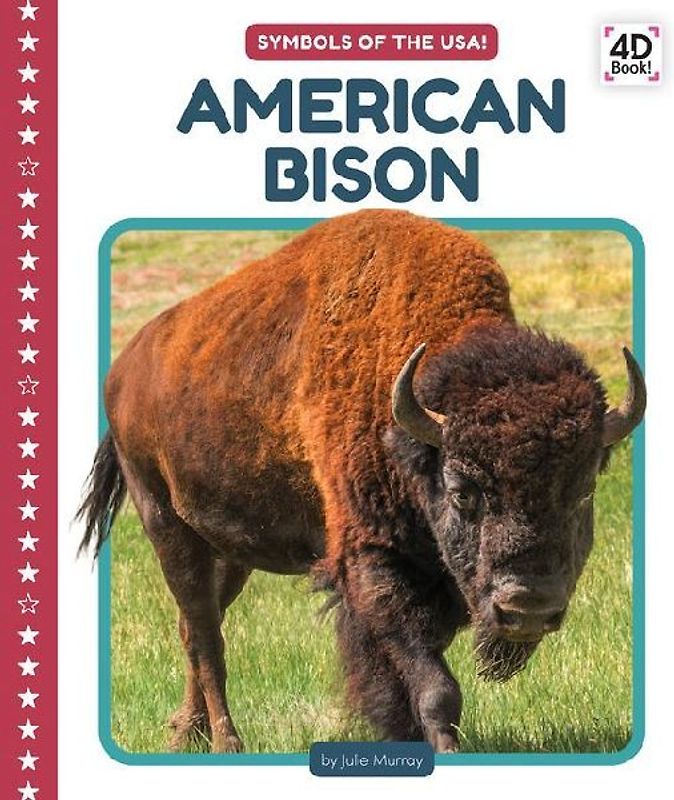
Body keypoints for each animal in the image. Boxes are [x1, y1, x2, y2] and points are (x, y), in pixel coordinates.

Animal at [78, 210, 645, 753]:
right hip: (165, 524)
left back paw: (185, 733)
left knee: (198, 622)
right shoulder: (372, 561)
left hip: (230, 549)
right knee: (202, 634)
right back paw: (226, 741)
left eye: (583, 491)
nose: (526, 607)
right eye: (462, 492)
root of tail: (122, 372)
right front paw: (442, 744)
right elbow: (432, 683)